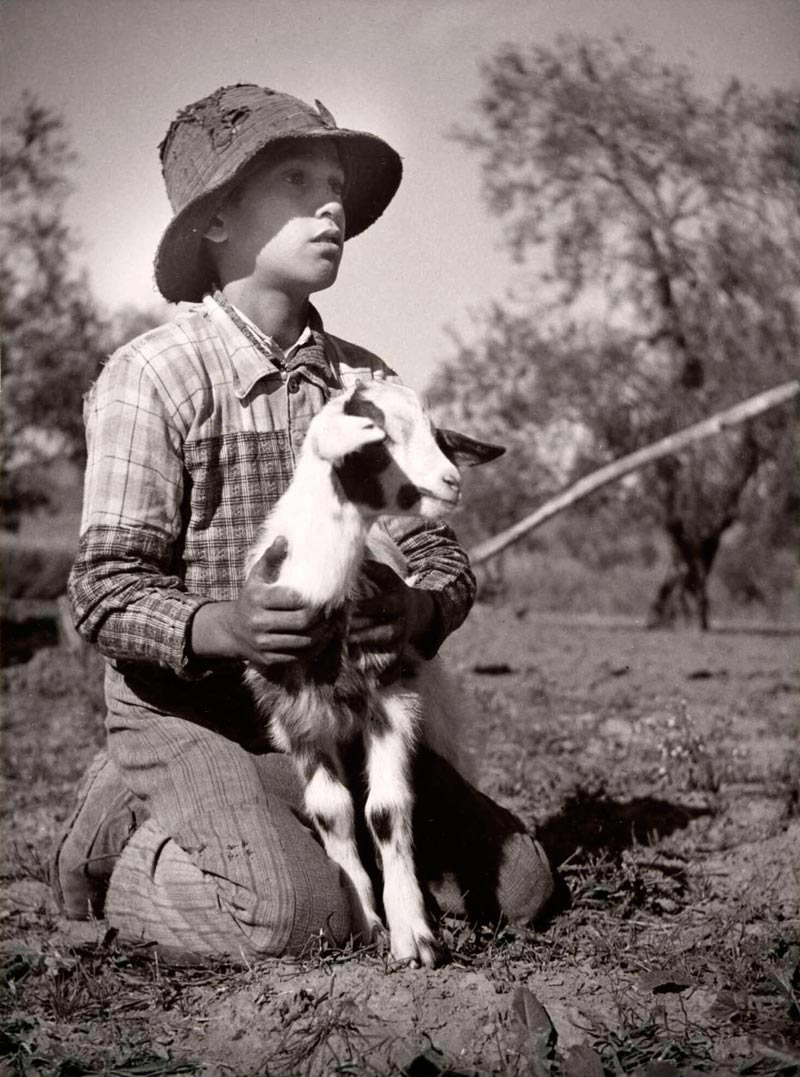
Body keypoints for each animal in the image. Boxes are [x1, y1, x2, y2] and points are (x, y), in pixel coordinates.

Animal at [244, 381, 506, 969]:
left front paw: (413, 936)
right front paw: (366, 922)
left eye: (436, 435)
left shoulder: (392, 697)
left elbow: (385, 810)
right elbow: (333, 812)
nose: (451, 481)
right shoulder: (296, 718)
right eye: (377, 439)